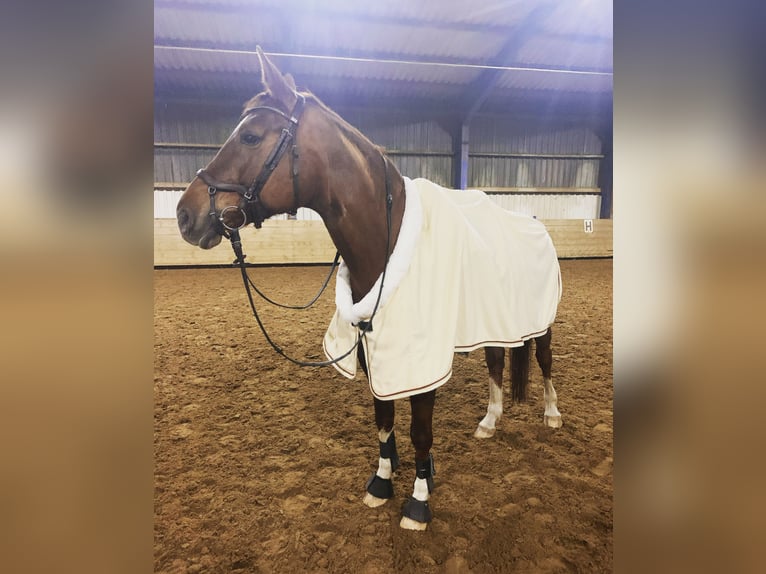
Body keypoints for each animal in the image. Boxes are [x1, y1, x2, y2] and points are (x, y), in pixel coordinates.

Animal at [176, 47, 563, 531]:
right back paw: (490, 421)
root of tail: (533, 220)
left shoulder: (418, 362)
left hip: (541, 322)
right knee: (495, 362)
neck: (385, 237)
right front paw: (381, 482)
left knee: (545, 362)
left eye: (250, 137)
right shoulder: (372, 350)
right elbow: (383, 420)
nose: (184, 215)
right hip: (494, 321)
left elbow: (420, 431)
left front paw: (418, 501)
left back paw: (551, 414)